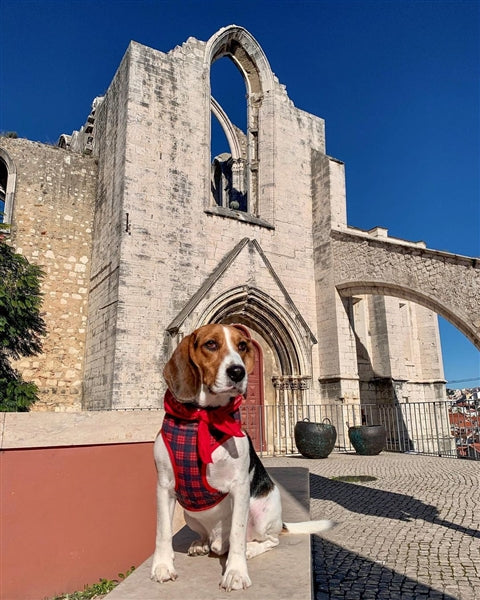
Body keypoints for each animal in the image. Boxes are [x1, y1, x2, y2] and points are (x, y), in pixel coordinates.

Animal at [152, 324, 332, 592]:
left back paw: (250, 549)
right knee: (209, 539)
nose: (238, 372)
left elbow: (237, 534)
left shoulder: (239, 487)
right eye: (211, 344)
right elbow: (162, 531)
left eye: (243, 346)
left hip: (261, 511)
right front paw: (163, 566)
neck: (204, 418)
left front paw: (236, 572)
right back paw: (201, 543)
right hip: (189, 514)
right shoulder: (164, 486)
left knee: (268, 540)